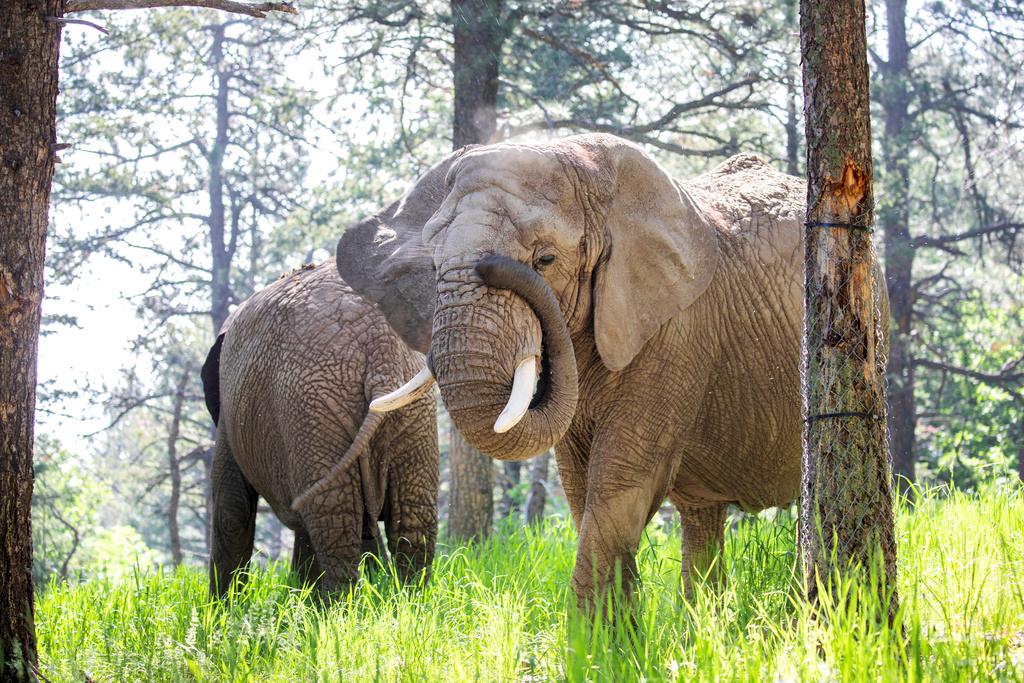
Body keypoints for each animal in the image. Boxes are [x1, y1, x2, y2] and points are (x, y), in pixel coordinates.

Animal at [200, 262, 440, 598]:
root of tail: (379, 348)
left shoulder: (229, 413)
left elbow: (231, 510)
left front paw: (221, 609)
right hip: (410, 413)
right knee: (412, 524)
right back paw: (407, 603)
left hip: (311, 409)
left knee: (334, 521)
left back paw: (334, 609)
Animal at [337, 135, 888, 610]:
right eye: (433, 268)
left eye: (546, 258)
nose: (494, 265)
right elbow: (580, 489)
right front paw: (617, 639)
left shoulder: (676, 330)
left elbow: (621, 481)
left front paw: (594, 649)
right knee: (701, 517)